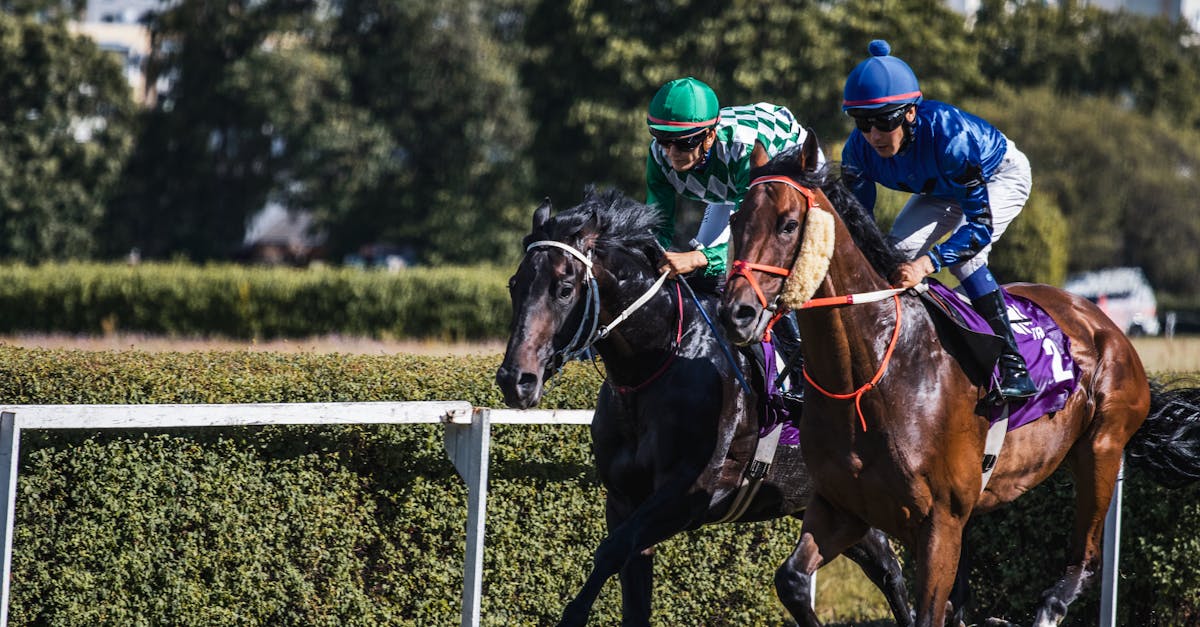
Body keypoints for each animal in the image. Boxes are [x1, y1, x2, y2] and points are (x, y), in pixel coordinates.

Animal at [495, 188, 915, 626]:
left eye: (564, 288)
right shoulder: (626, 498)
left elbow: (610, 551)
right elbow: (633, 592)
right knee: (886, 568)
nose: (515, 379)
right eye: (514, 284)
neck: (655, 361)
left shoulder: (691, 495)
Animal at [719, 133, 1200, 627]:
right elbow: (793, 581)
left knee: (1083, 562)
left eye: (789, 225)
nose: (736, 313)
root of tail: (1104, 323)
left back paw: (1046, 609)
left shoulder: (939, 523)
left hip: (1101, 448)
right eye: (736, 219)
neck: (871, 373)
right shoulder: (842, 506)